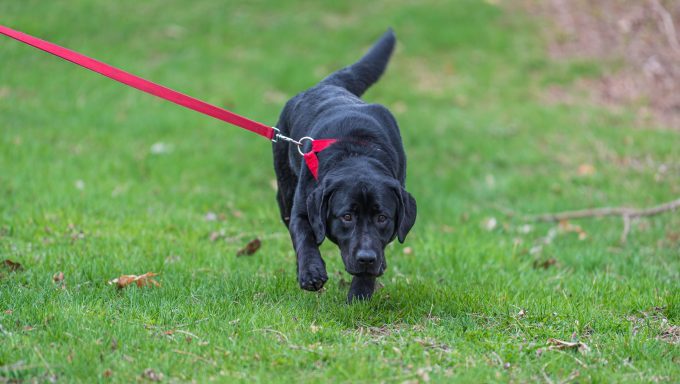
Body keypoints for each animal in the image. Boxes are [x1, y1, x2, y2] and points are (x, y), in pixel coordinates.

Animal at [270, 28, 414, 302]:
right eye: (346, 216)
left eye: (382, 217)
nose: (366, 259)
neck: (356, 151)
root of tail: (326, 85)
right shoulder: (303, 206)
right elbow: (304, 237)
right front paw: (311, 272)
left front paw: (360, 291)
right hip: (284, 191)